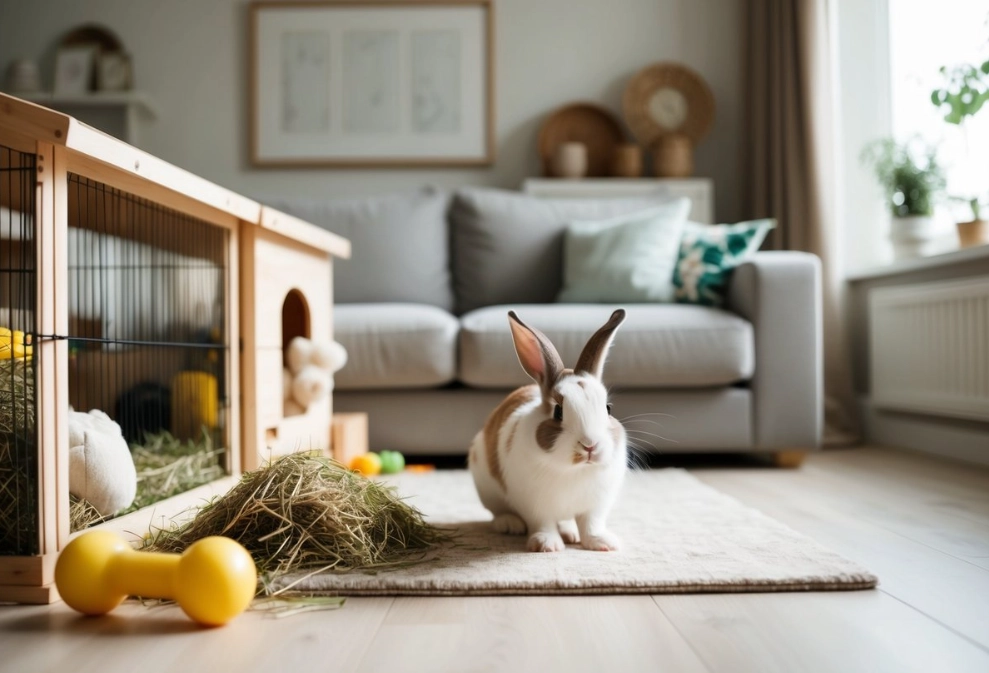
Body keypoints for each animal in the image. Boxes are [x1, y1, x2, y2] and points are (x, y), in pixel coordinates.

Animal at [468, 308, 628, 553]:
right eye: (558, 412)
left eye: (608, 408)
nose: (590, 445)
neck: (573, 470)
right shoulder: (535, 505)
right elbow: (542, 522)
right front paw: (547, 545)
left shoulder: (596, 506)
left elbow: (591, 524)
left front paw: (603, 544)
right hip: (488, 488)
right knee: (497, 512)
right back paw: (510, 524)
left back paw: (570, 532)